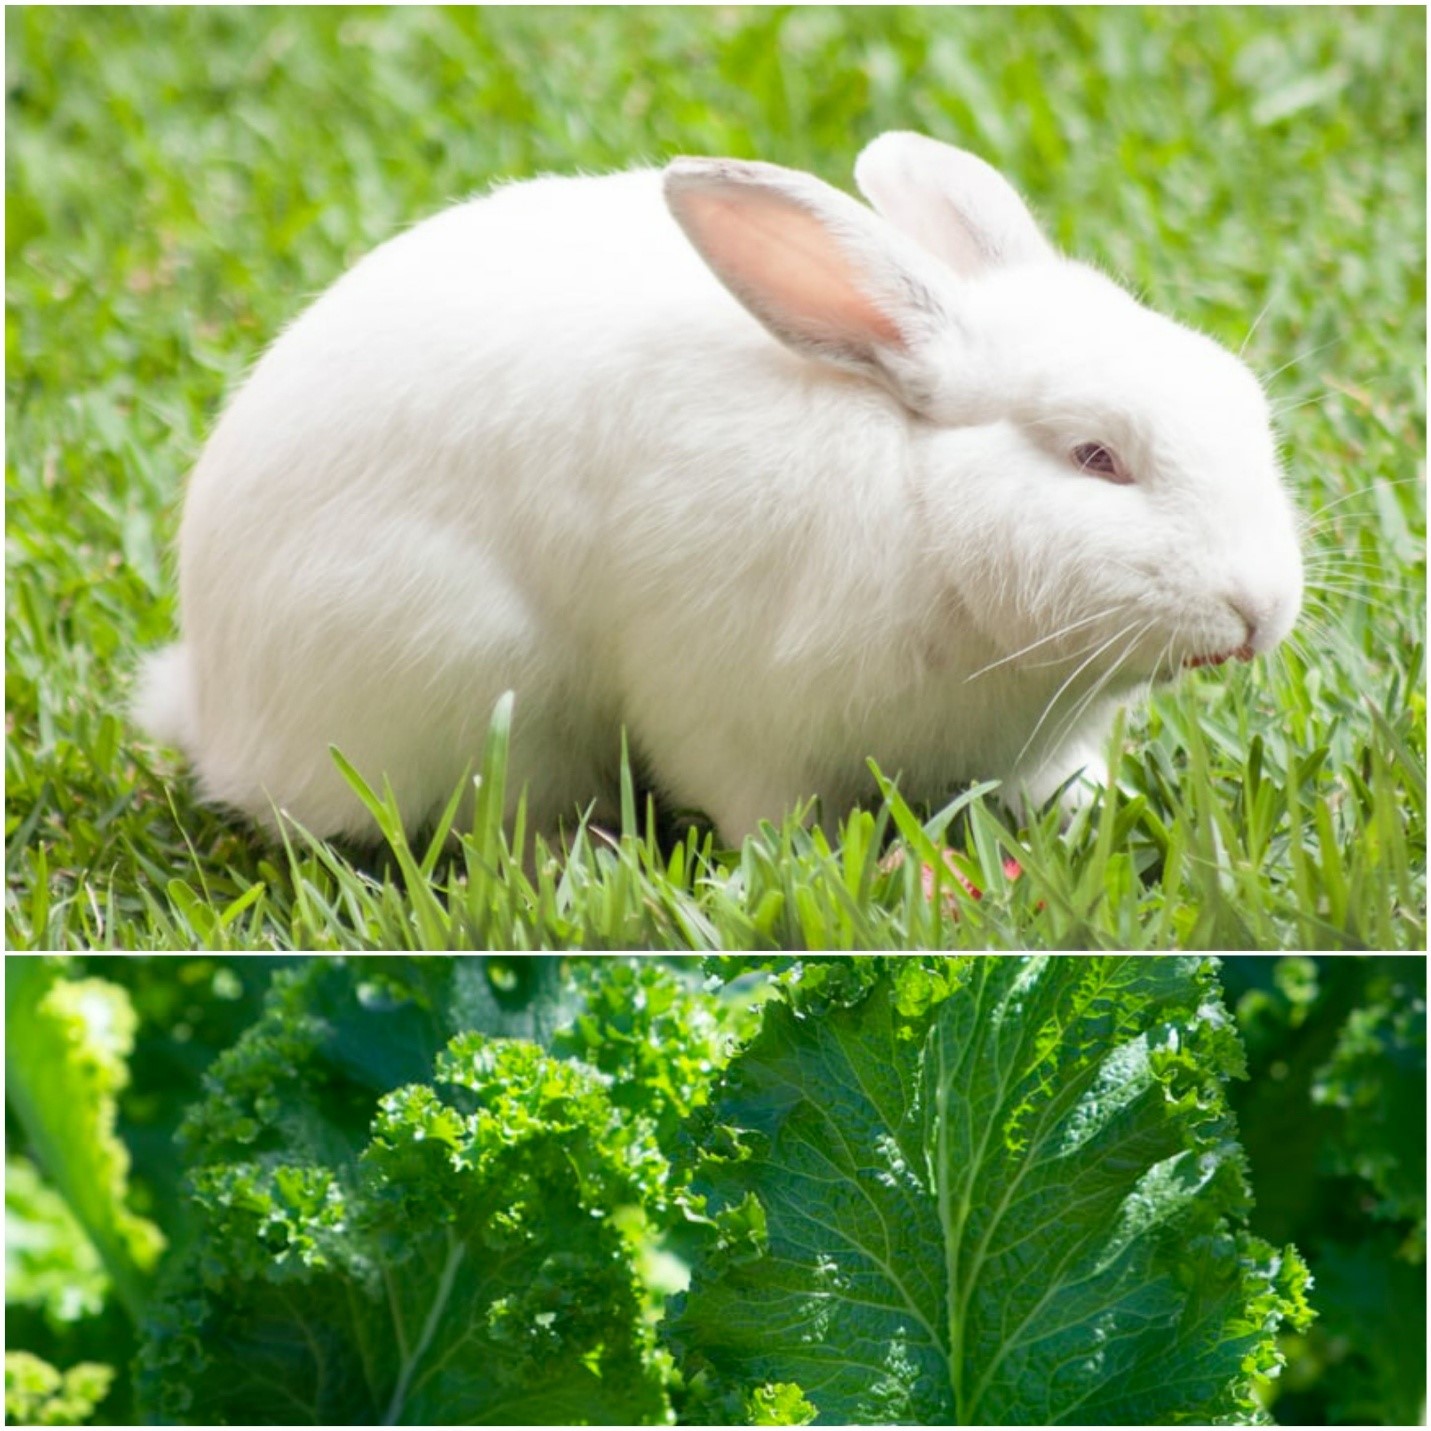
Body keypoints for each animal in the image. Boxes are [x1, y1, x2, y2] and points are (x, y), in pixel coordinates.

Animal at [134, 131, 1303, 847]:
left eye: (1240, 399)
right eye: (1095, 456)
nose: (1258, 610)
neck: (921, 499)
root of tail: (218, 710)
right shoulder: (731, 711)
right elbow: (761, 812)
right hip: (474, 681)